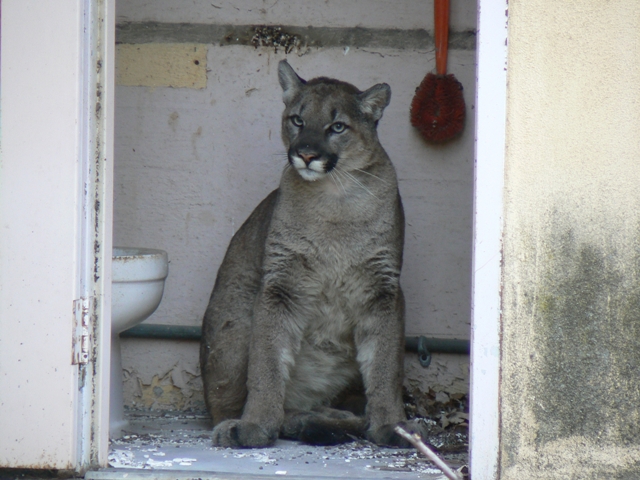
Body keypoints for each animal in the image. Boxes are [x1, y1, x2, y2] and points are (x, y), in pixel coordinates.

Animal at [201, 59, 420, 446]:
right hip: (235, 322)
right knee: (225, 407)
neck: (334, 196)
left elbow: (385, 365)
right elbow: (268, 362)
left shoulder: (383, 288)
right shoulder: (280, 286)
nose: (305, 154)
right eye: (298, 120)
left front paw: (391, 426)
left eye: (337, 126)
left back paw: (336, 418)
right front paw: (256, 424)